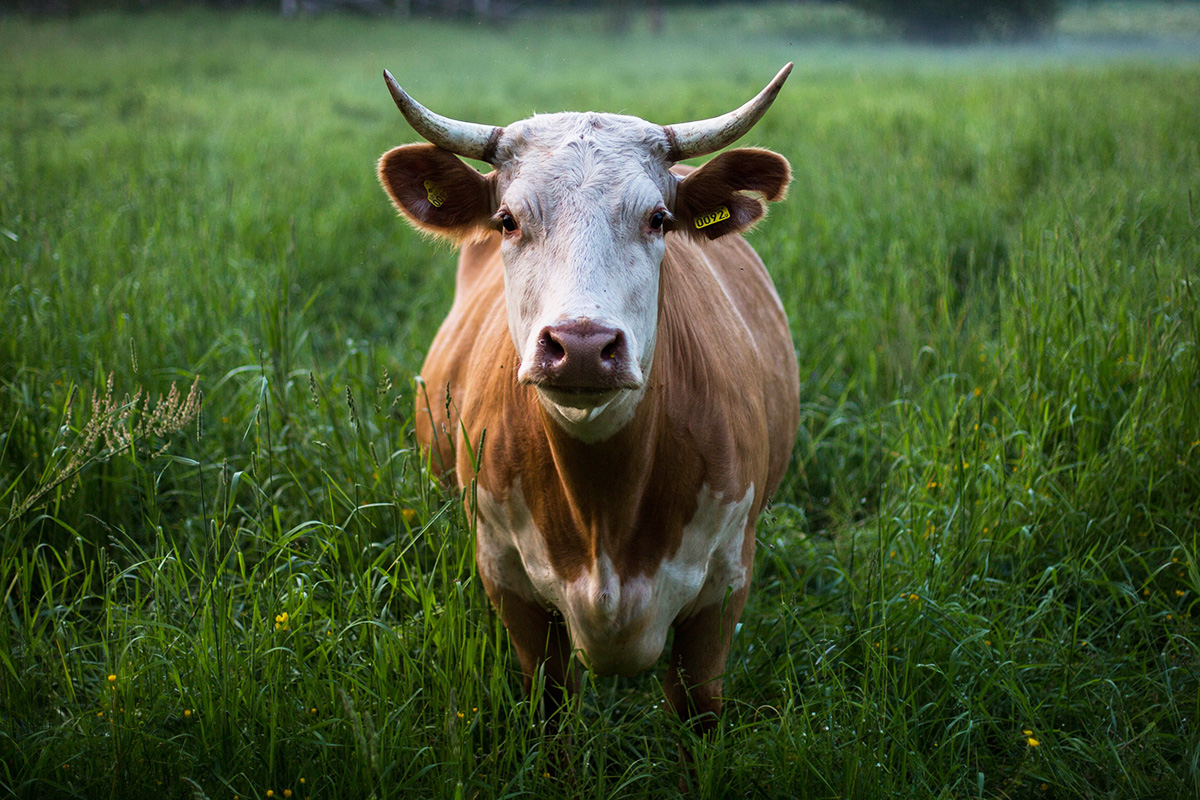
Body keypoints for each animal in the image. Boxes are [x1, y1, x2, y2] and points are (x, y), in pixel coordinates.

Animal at [379, 67, 801, 753]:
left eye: (659, 218)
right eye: (507, 219)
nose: (580, 346)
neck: (605, 508)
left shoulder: (723, 591)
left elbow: (698, 715)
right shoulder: (510, 585)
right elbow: (552, 712)